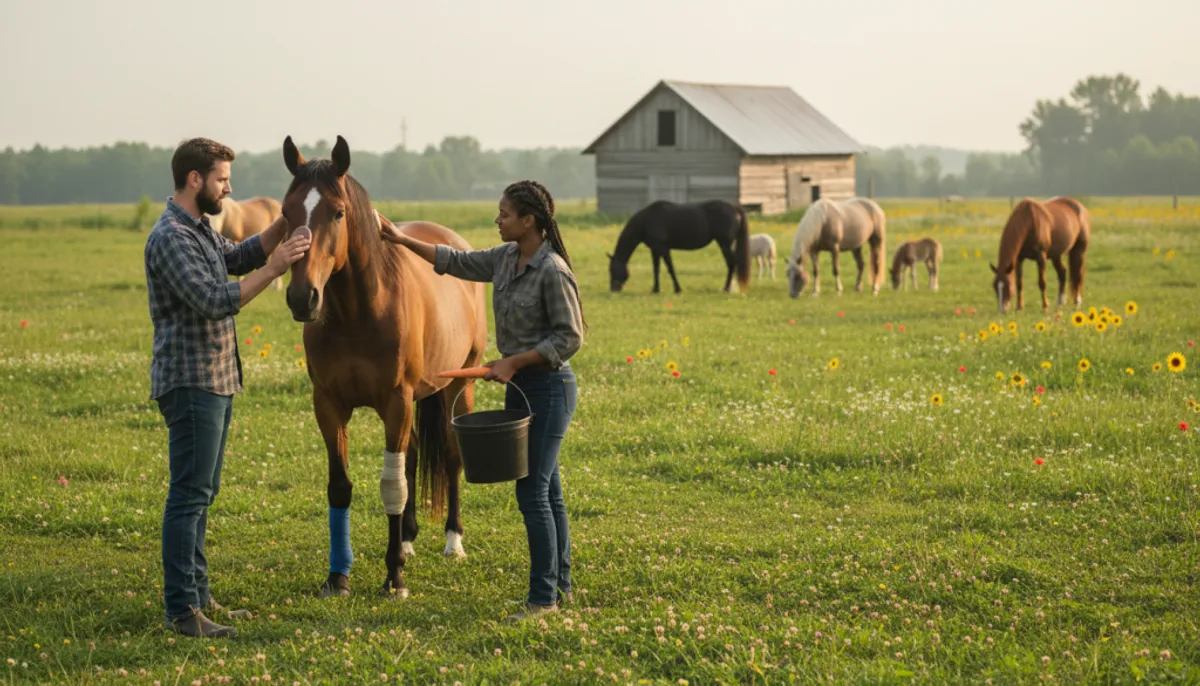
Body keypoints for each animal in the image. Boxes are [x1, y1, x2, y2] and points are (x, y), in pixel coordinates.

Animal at [280, 135, 488, 599]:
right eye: (286, 213)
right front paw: (338, 577)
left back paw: (453, 541)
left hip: (457, 387)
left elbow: (392, 486)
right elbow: (341, 486)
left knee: (451, 456)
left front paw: (394, 578)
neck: (358, 312)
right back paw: (407, 539)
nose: (303, 298)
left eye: (338, 212)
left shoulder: (396, 400)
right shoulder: (329, 404)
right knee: (411, 457)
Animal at [607, 199, 750, 294]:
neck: (647, 220)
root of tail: (735, 209)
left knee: (732, 263)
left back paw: (726, 288)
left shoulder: (663, 248)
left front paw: (677, 289)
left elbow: (670, 268)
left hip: (724, 244)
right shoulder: (655, 249)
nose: (613, 289)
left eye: (612, 270)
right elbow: (656, 268)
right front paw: (655, 289)